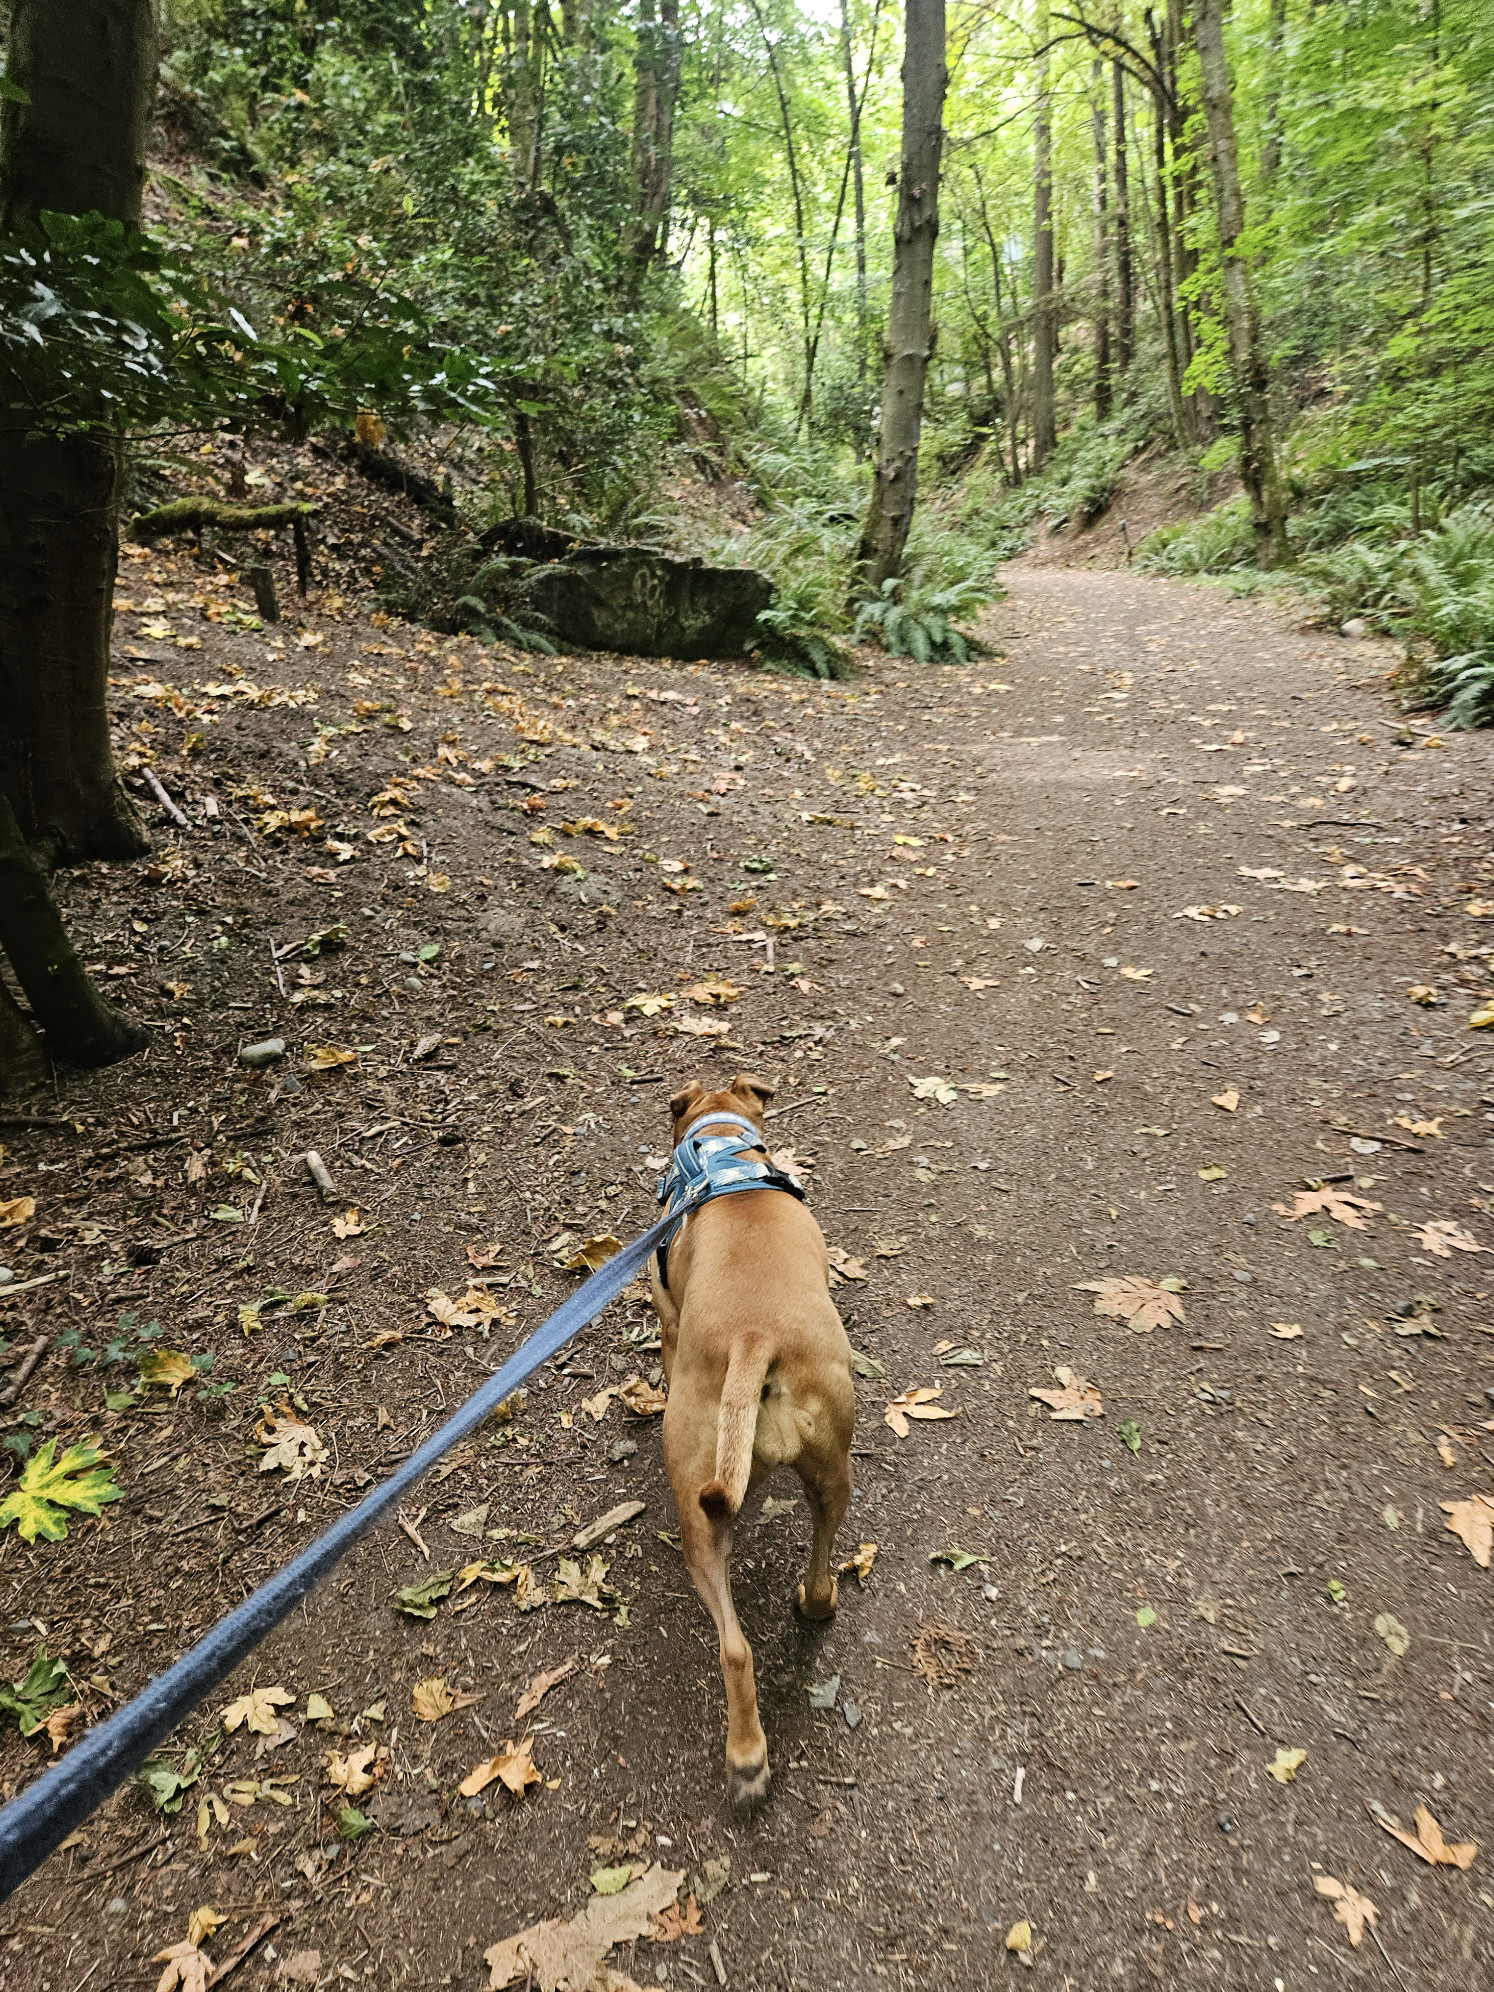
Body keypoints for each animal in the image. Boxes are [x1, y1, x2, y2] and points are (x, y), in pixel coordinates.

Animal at [653, 1083, 852, 1816]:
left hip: (696, 1508)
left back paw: (743, 1759)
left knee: (733, 1649)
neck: (720, 1149)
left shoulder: (667, 1313)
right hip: (829, 1466)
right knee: (815, 1563)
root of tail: (753, 1338)